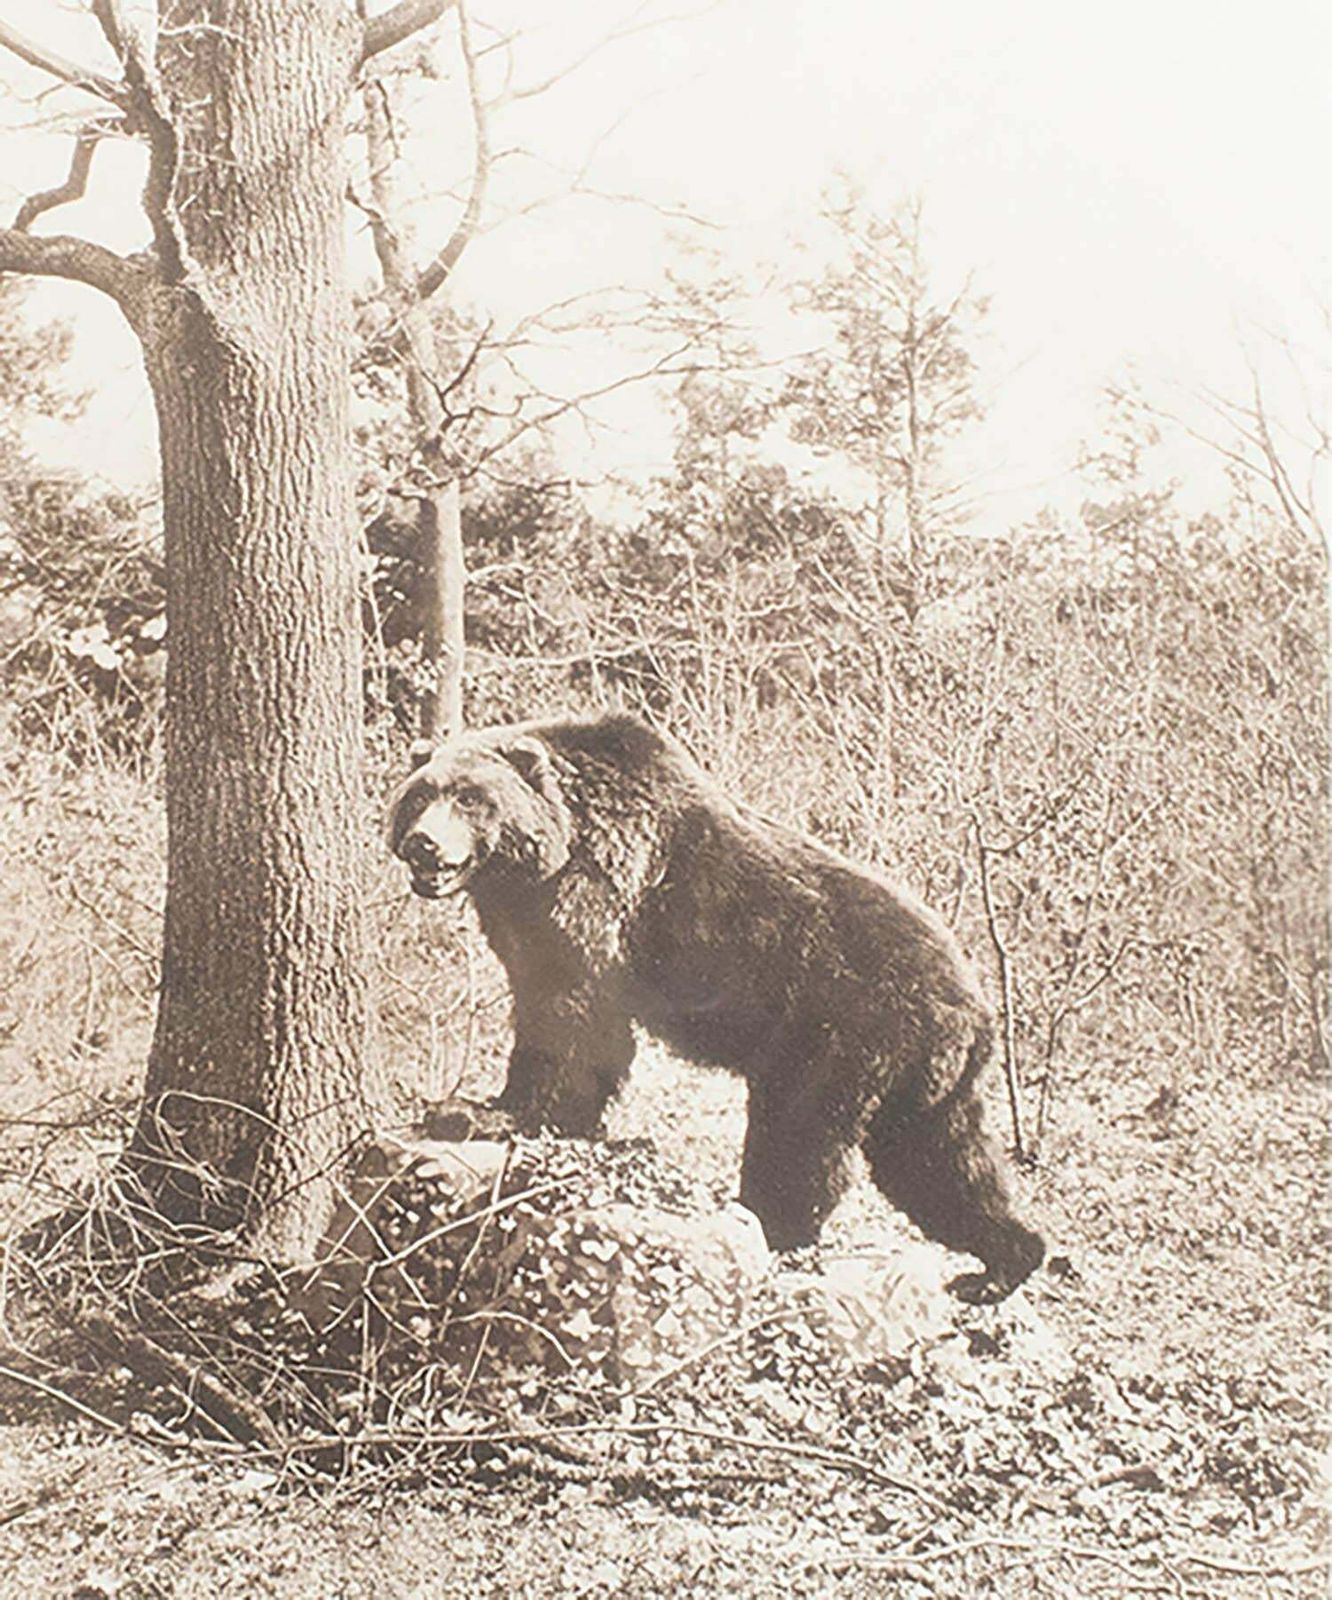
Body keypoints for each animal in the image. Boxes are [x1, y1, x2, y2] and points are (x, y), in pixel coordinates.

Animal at [387, 711, 1045, 1303]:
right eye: (419, 794)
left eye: (472, 798)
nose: (425, 843)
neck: (535, 862)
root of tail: (977, 1012)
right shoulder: (520, 914)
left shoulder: (594, 894)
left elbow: (573, 1016)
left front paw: (485, 1111)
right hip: (921, 1082)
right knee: (938, 1163)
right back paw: (1001, 1264)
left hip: (843, 1029)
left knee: (800, 1131)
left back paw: (768, 1222)